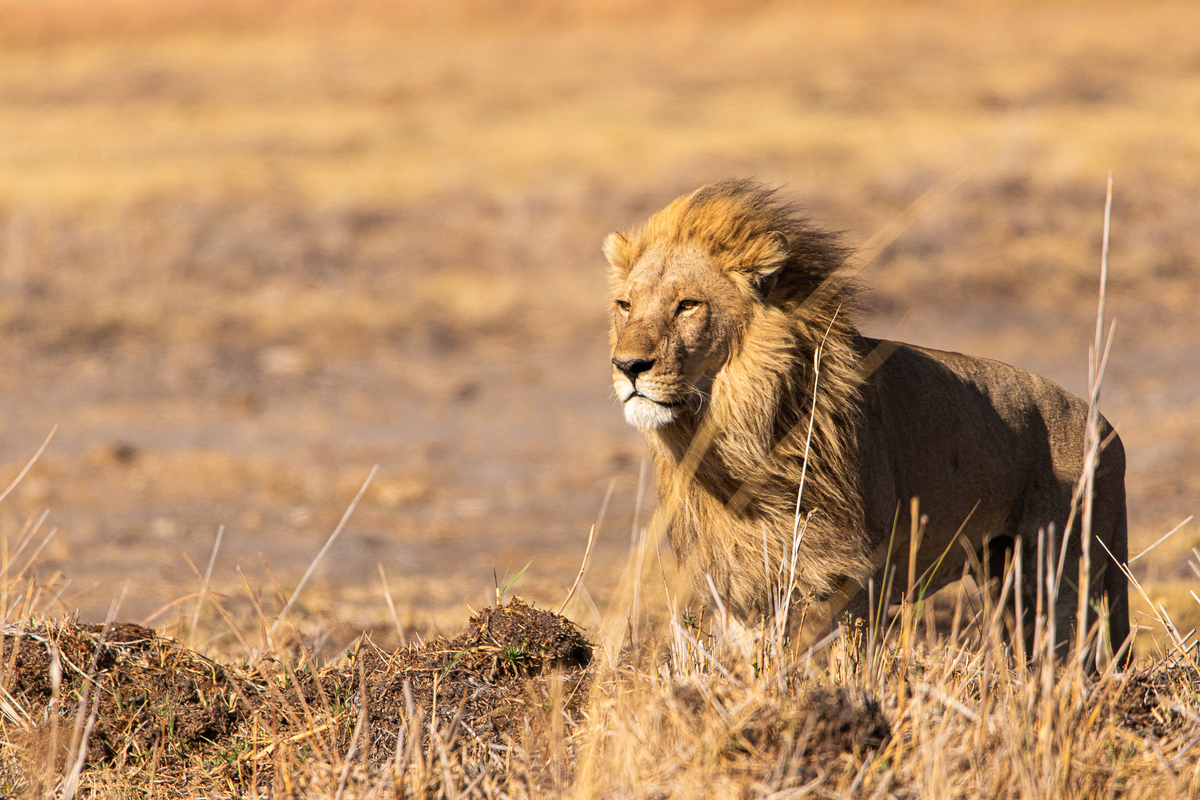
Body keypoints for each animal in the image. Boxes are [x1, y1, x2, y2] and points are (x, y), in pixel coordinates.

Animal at [604, 178, 1128, 662]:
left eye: (688, 305)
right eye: (625, 305)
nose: (627, 366)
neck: (732, 439)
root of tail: (1106, 426)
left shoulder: (852, 578)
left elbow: (847, 663)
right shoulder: (737, 583)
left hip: (1059, 573)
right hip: (1004, 577)